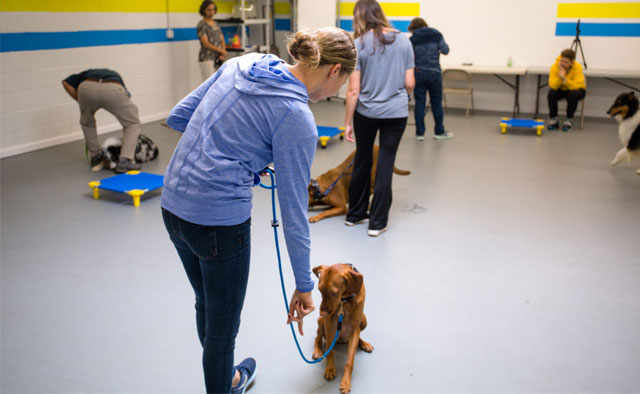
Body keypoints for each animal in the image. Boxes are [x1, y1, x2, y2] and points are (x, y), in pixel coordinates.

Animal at [312, 264, 372, 394]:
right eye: (319, 290)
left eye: (333, 293)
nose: (322, 312)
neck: (345, 300)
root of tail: (341, 340)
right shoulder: (329, 322)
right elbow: (330, 351)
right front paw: (330, 369)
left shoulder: (355, 327)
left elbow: (350, 361)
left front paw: (345, 382)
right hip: (321, 321)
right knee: (317, 338)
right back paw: (317, 351)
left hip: (363, 320)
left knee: (358, 337)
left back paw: (364, 344)